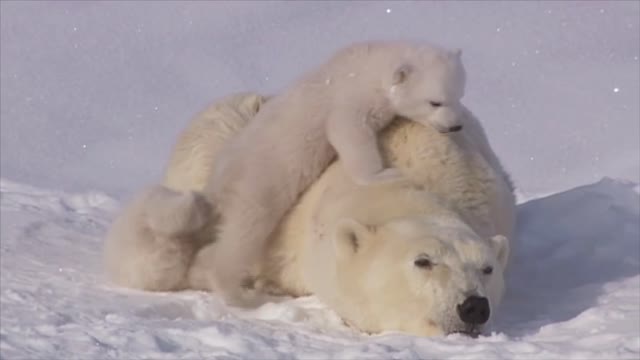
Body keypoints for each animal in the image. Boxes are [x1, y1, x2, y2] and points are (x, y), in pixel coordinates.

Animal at [208, 40, 468, 306]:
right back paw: (234, 291)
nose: (456, 126)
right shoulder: (354, 96)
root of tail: (218, 180)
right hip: (259, 178)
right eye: (435, 102)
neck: (373, 63)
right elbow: (348, 130)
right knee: (246, 228)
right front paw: (384, 174)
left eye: (458, 95)